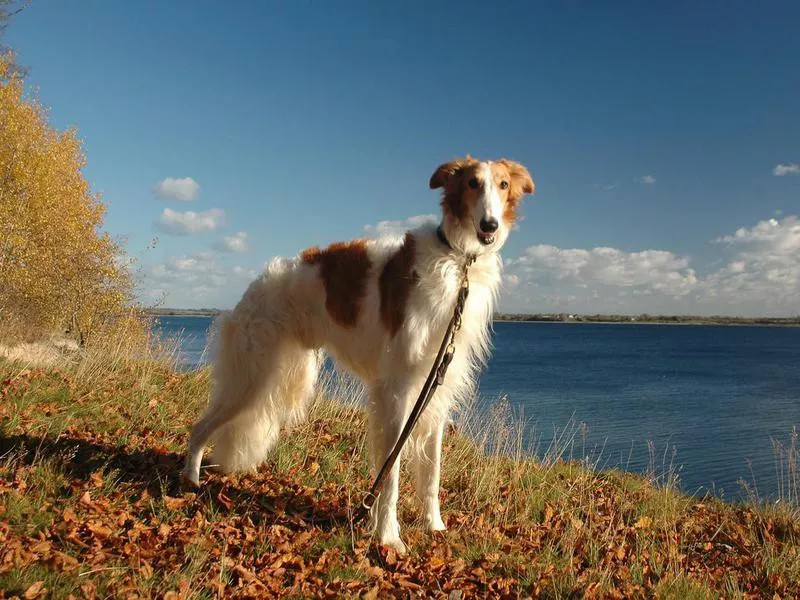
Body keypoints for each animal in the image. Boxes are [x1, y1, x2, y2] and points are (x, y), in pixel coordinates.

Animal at [180, 156, 532, 552]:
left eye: (503, 184)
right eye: (473, 183)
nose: (490, 226)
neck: (457, 262)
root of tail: (256, 285)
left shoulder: (434, 388)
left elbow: (431, 474)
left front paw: (434, 526)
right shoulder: (397, 390)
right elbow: (390, 475)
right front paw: (389, 537)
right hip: (251, 377)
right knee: (199, 427)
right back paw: (190, 480)